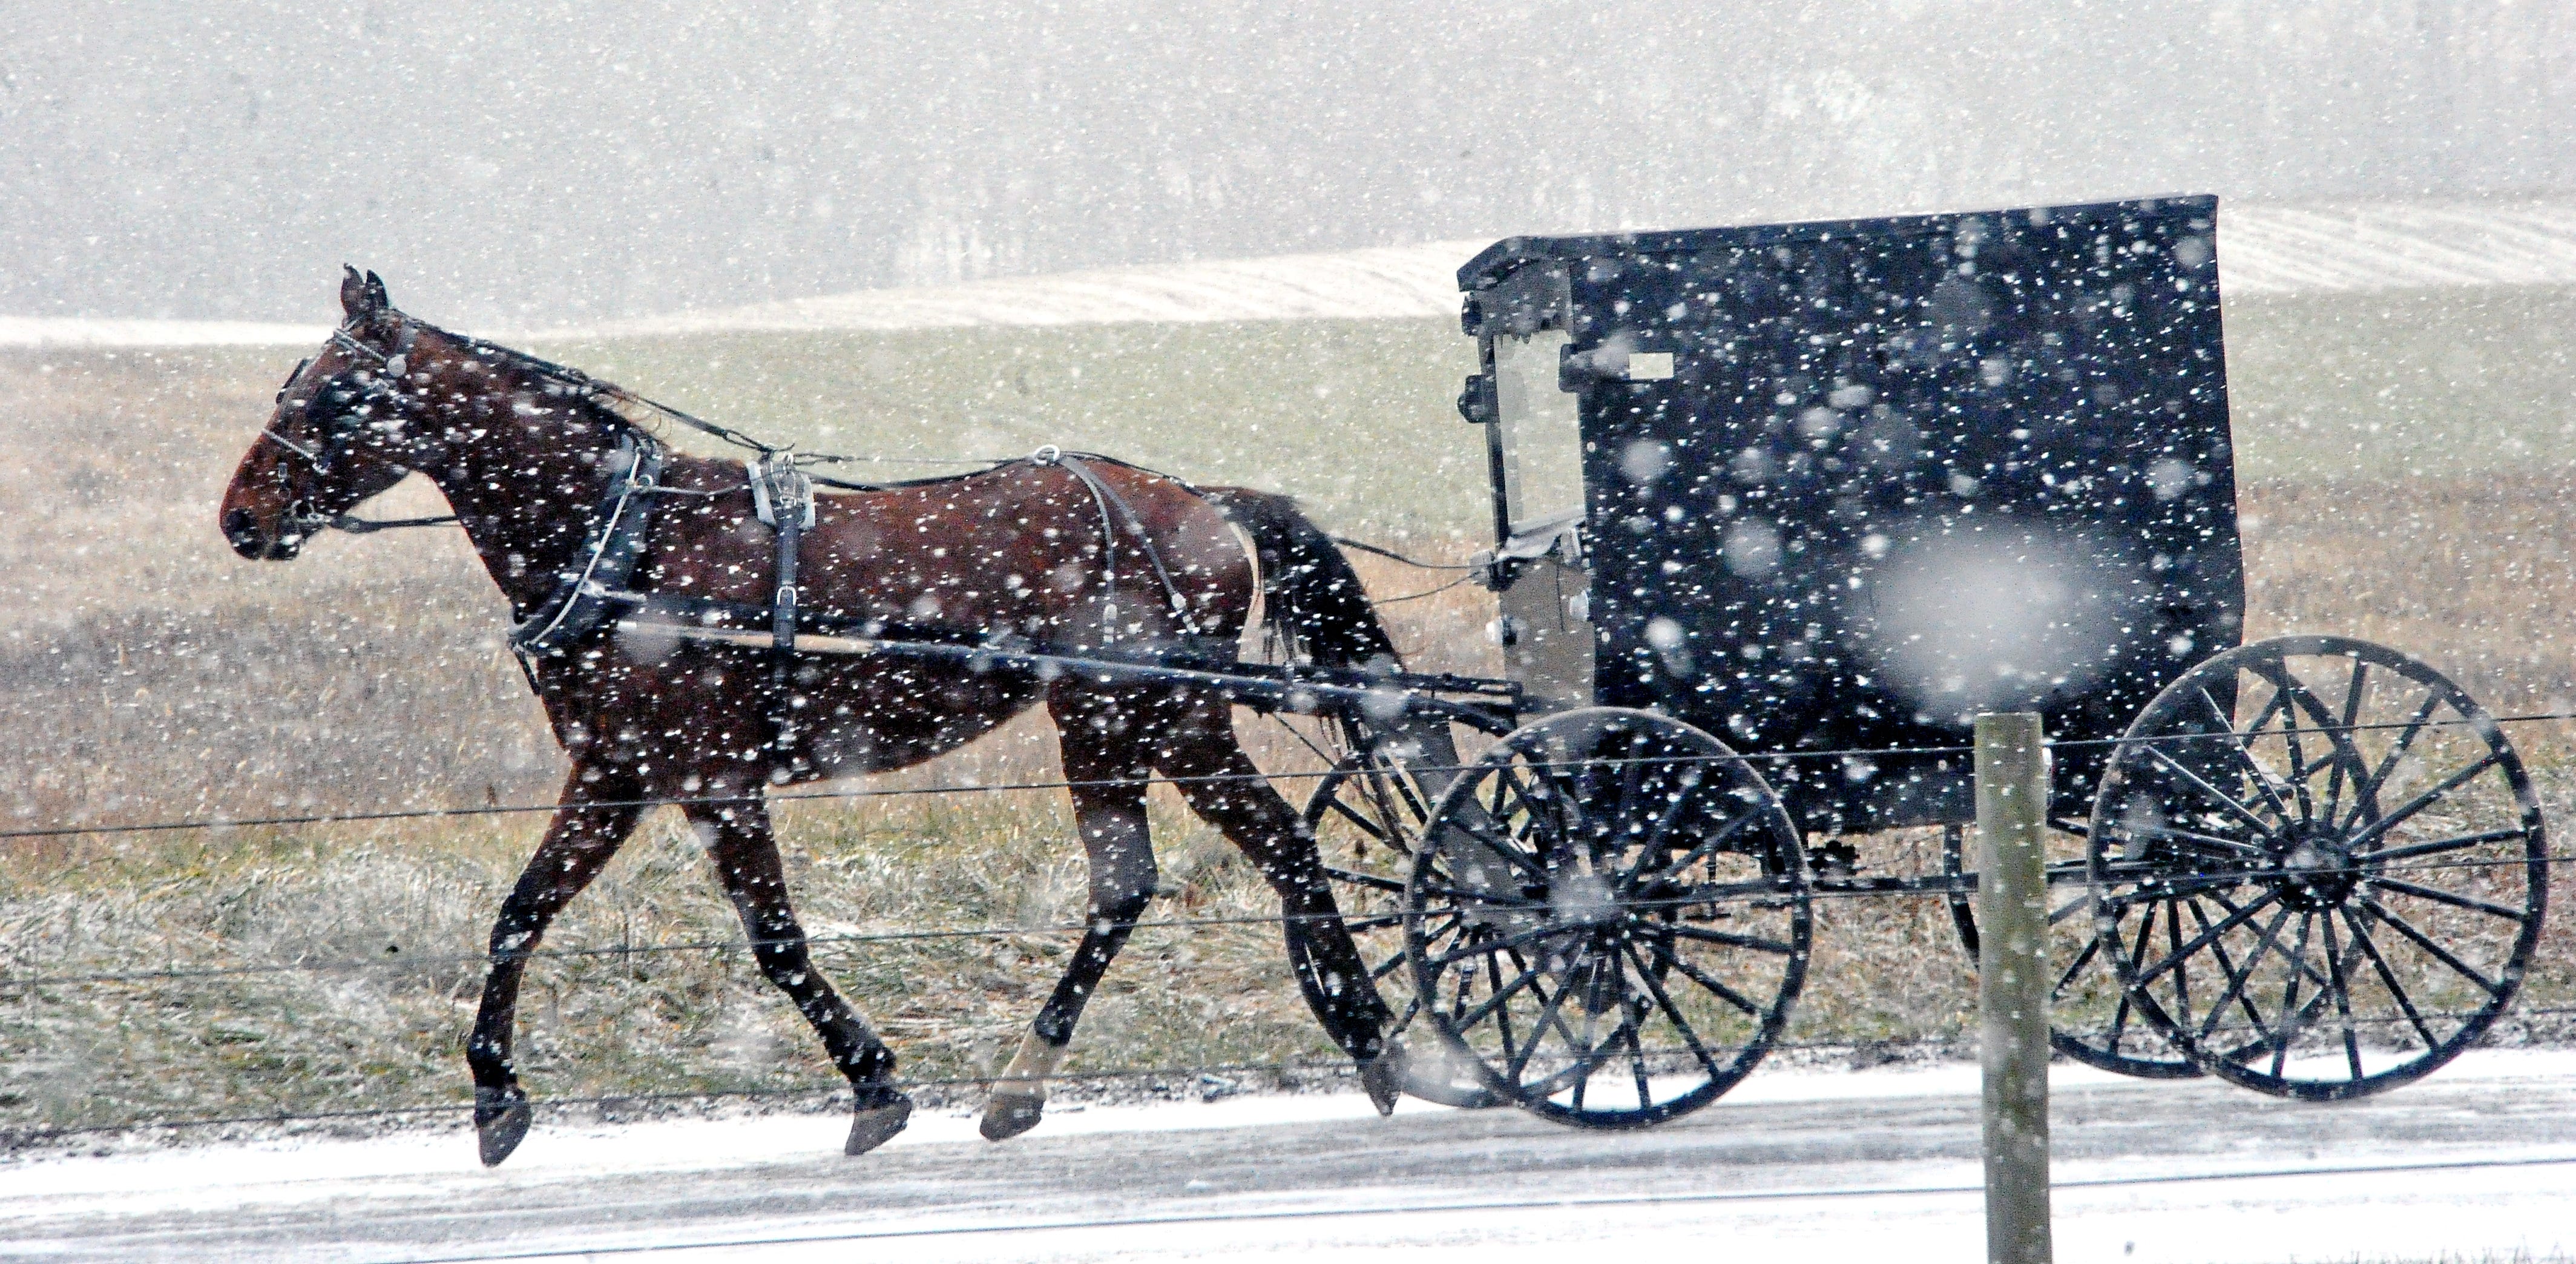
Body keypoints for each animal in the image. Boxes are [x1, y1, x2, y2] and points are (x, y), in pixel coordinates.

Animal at [218, 268, 1411, 1168]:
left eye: (330, 393)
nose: (240, 516)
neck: (626, 545)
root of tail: (1200, 501)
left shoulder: (713, 777)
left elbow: (776, 939)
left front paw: (875, 1084)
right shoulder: (616, 775)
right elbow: (520, 913)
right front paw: (494, 1098)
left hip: (1124, 715)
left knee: (1149, 877)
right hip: (1164, 724)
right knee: (1269, 850)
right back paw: (1367, 1041)